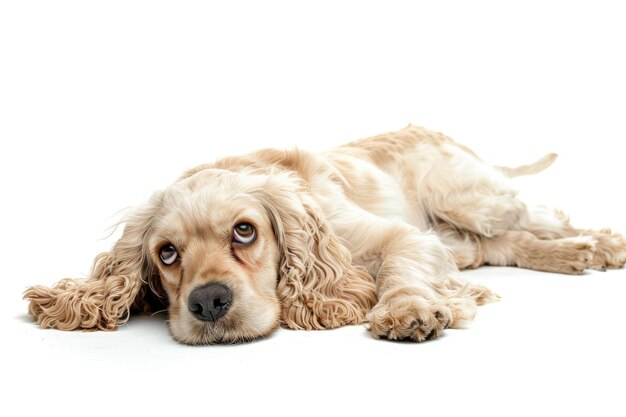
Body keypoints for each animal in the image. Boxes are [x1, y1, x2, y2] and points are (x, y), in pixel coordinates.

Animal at [22, 125, 620, 342]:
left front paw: (407, 309)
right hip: (466, 231)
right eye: (166, 254)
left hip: (470, 200)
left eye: (245, 231)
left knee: (538, 214)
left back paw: (603, 243)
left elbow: (399, 267)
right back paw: (576, 254)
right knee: (506, 244)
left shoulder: (402, 237)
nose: (209, 302)